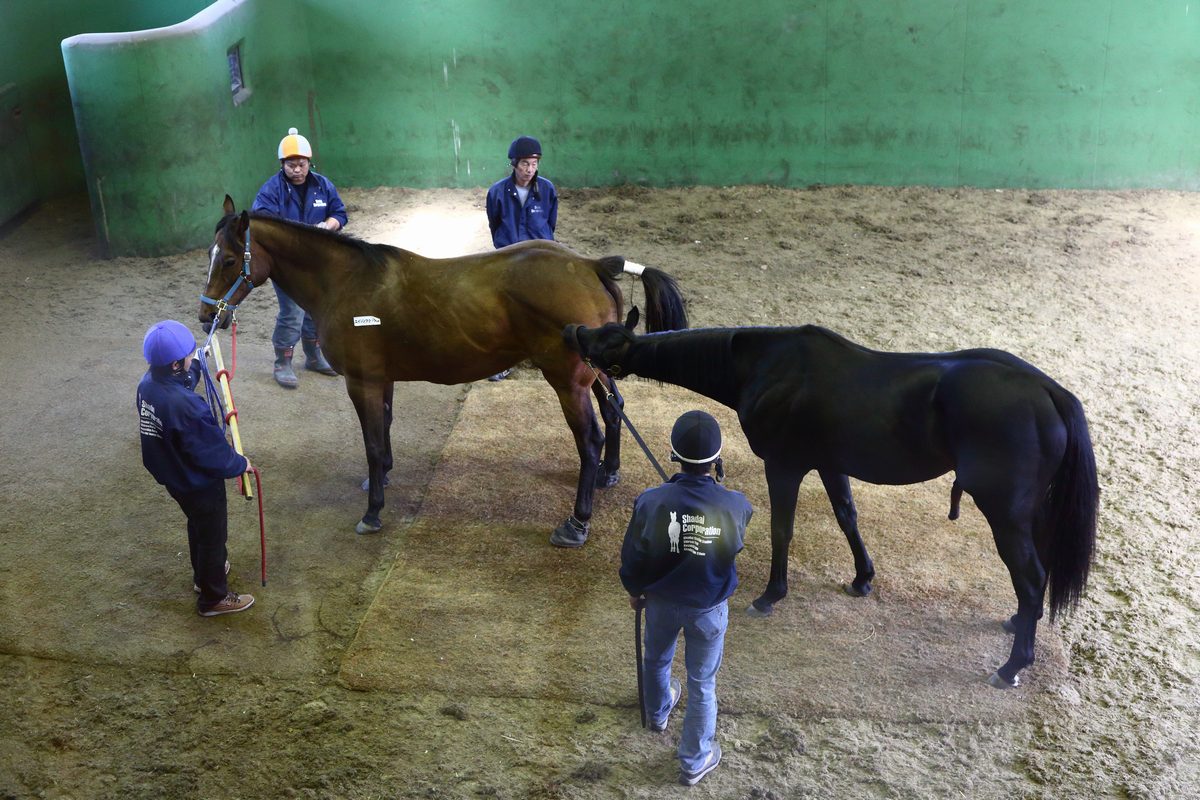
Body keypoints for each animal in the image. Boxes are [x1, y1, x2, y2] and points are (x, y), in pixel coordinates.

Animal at [196, 196, 686, 542]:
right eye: (209, 256)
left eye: (228, 260)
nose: (205, 317)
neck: (345, 281)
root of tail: (590, 264)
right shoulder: (382, 379)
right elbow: (384, 431)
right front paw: (383, 477)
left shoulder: (361, 381)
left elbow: (372, 442)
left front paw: (373, 512)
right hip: (595, 371)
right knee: (615, 410)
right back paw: (608, 473)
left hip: (569, 382)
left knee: (590, 439)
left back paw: (577, 523)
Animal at [566, 314, 1099, 690]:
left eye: (608, 342)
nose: (573, 330)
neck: (768, 367)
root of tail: (1049, 391)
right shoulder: (829, 463)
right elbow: (847, 517)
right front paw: (863, 579)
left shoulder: (784, 465)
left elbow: (782, 529)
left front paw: (770, 595)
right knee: (1032, 583)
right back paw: (1017, 623)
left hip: (1005, 513)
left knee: (1030, 578)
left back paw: (1011, 667)